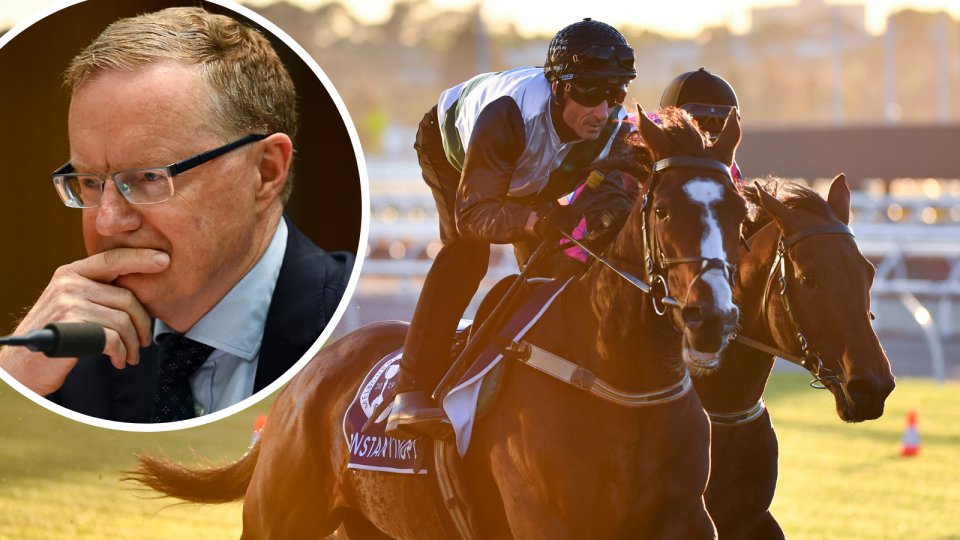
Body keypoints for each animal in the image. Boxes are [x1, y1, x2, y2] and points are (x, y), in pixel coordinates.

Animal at [124, 107, 748, 536]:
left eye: (741, 213)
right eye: (662, 210)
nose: (711, 315)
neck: (619, 378)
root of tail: (303, 383)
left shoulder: (687, 520)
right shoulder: (546, 520)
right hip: (278, 518)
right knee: (464, 247)